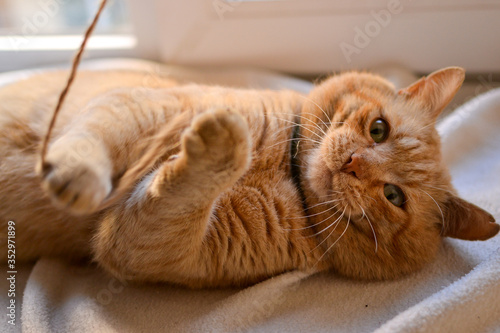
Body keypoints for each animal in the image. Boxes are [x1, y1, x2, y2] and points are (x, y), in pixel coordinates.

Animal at [0, 67, 498, 286]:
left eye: (394, 196)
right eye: (379, 129)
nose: (354, 164)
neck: (286, 173)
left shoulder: (149, 246)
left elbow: (181, 194)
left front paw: (221, 148)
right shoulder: (140, 105)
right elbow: (95, 138)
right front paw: (77, 173)